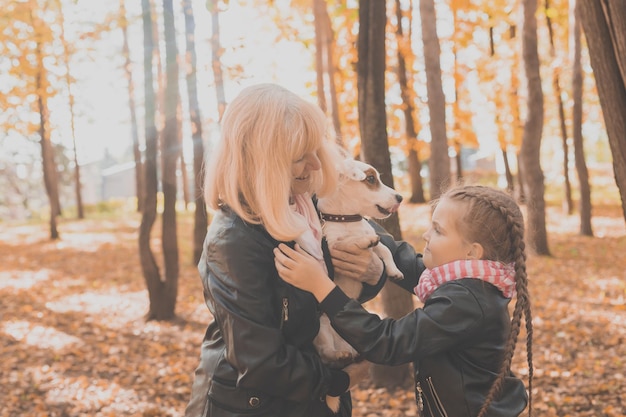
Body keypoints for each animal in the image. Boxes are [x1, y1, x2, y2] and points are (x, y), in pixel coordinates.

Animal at [314, 155, 402, 410]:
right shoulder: (333, 248)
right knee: (326, 354)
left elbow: (384, 250)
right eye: (371, 179)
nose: (400, 198)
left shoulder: (375, 244)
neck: (348, 221)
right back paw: (338, 356)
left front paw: (394, 271)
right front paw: (361, 242)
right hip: (321, 329)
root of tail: (344, 346)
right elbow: (349, 243)